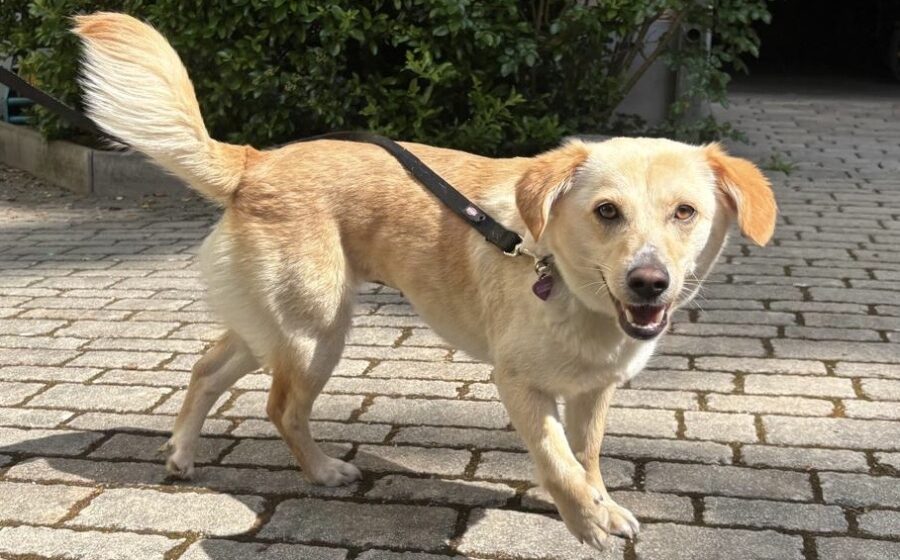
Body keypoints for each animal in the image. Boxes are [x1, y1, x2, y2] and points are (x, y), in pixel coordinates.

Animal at [73, 12, 776, 549]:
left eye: (685, 212)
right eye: (607, 212)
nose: (649, 282)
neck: (563, 281)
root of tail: (257, 161)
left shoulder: (591, 392)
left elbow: (589, 458)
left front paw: (600, 505)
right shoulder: (519, 386)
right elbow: (558, 461)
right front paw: (586, 522)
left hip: (270, 326)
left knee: (205, 369)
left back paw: (181, 453)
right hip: (315, 331)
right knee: (281, 408)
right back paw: (322, 471)